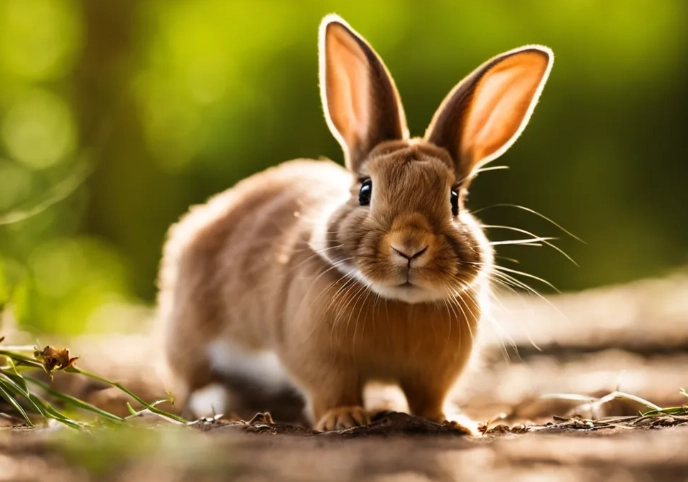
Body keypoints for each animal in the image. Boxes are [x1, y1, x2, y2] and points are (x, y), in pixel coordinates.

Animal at [156, 13, 553, 431]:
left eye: (454, 199)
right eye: (365, 189)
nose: (409, 247)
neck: (400, 303)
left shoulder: (434, 372)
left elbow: (428, 398)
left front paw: (451, 420)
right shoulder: (320, 357)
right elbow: (332, 388)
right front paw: (343, 419)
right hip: (189, 333)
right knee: (191, 379)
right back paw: (215, 400)